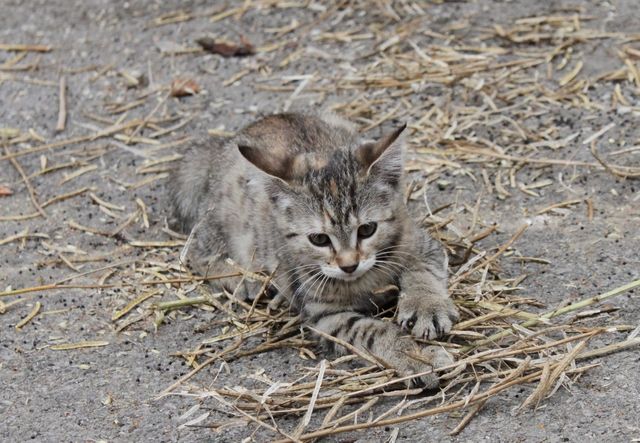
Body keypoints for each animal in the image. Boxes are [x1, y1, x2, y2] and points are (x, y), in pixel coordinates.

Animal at [170, 112, 458, 388]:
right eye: (319, 239)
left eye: (367, 229)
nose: (349, 265)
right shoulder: (325, 317)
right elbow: (372, 332)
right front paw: (416, 357)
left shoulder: (422, 243)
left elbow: (422, 271)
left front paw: (426, 307)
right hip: (223, 222)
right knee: (194, 251)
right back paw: (244, 279)